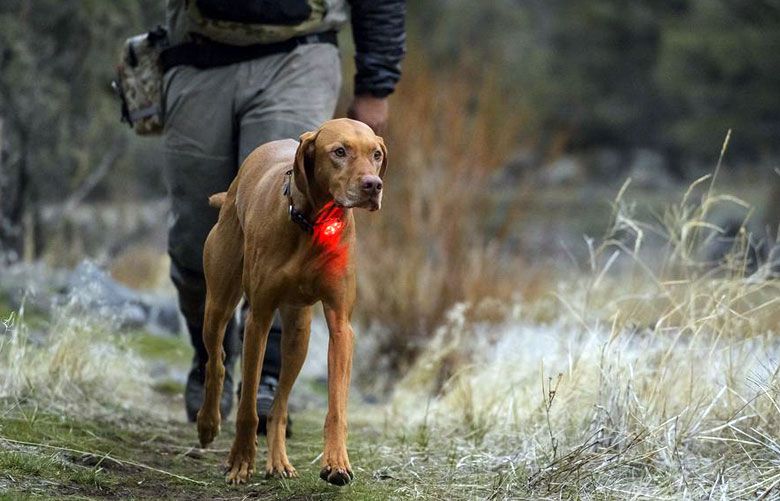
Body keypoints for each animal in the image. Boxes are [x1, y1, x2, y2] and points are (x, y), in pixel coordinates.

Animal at [195, 118, 386, 484]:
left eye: (377, 154)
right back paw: (208, 423)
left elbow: (336, 406)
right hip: (218, 303)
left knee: (280, 402)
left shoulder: (341, 325)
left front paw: (337, 463)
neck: (312, 223)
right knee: (217, 361)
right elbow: (247, 408)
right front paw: (240, 461)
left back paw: (279, 460)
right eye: (339, 152)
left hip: (299, 334)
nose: (373, 185)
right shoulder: (259, 318)